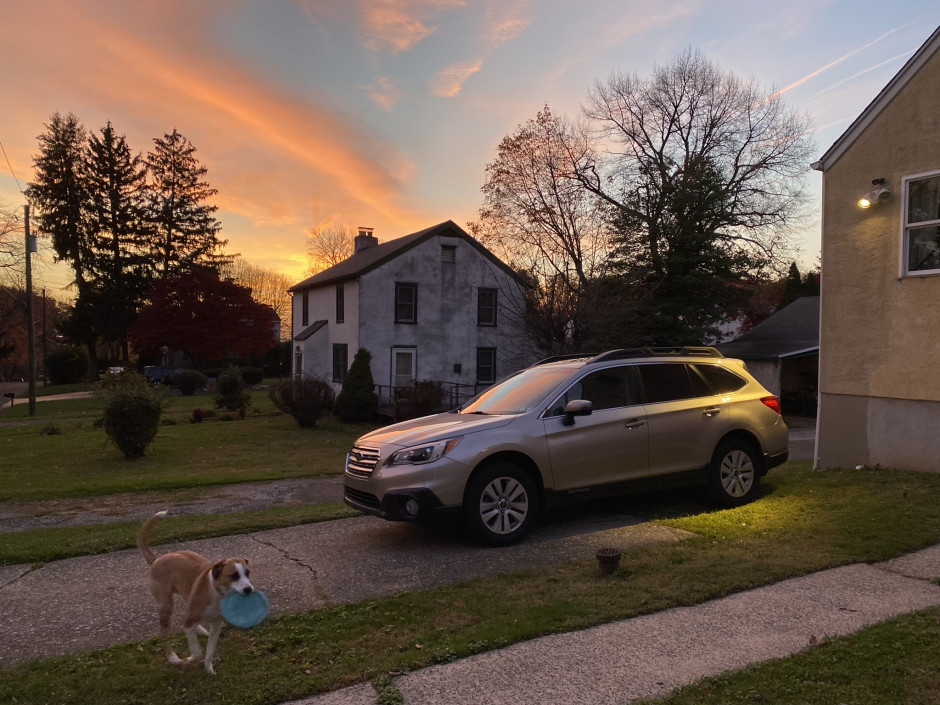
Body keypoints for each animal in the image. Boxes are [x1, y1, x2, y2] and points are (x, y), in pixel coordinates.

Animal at [137, 512, 252, 672]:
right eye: (234, 576)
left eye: (247, 573)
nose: (249, 589)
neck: (217, 592)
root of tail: (156, 559)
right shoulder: (190, 622)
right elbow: (197, 652)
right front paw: (189, 659)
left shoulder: (216, 625)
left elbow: (209, 651)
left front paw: (209, 669)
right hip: (166, 605)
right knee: (165, 632)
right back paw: (173, 657)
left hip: (187, 597)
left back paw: (201, 631)